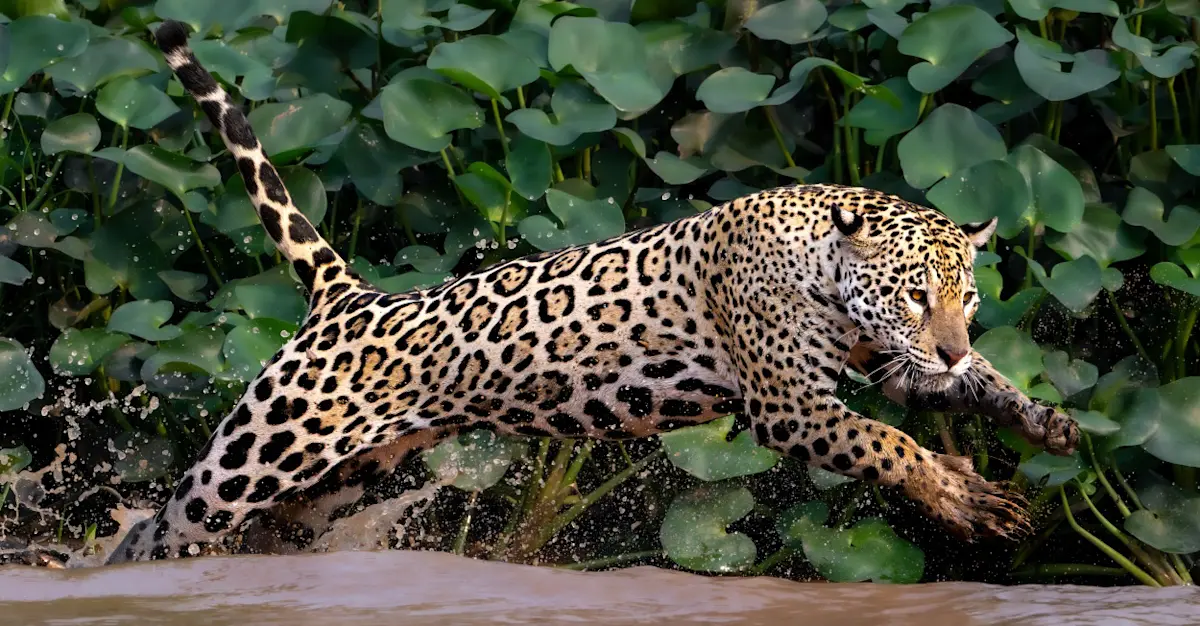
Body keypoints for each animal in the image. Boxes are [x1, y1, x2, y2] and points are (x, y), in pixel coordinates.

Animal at [106, 19, 1078, 564]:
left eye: (968, 302)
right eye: (914, 293)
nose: (947, 344)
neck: (827, 270)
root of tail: (351, 298)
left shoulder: (890, 365)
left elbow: (977, 388)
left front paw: (1047, 423)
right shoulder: (788, 405)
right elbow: (886, 444)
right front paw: (962, 495)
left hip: (334, 483)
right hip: (252, 462)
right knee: (156, 530)